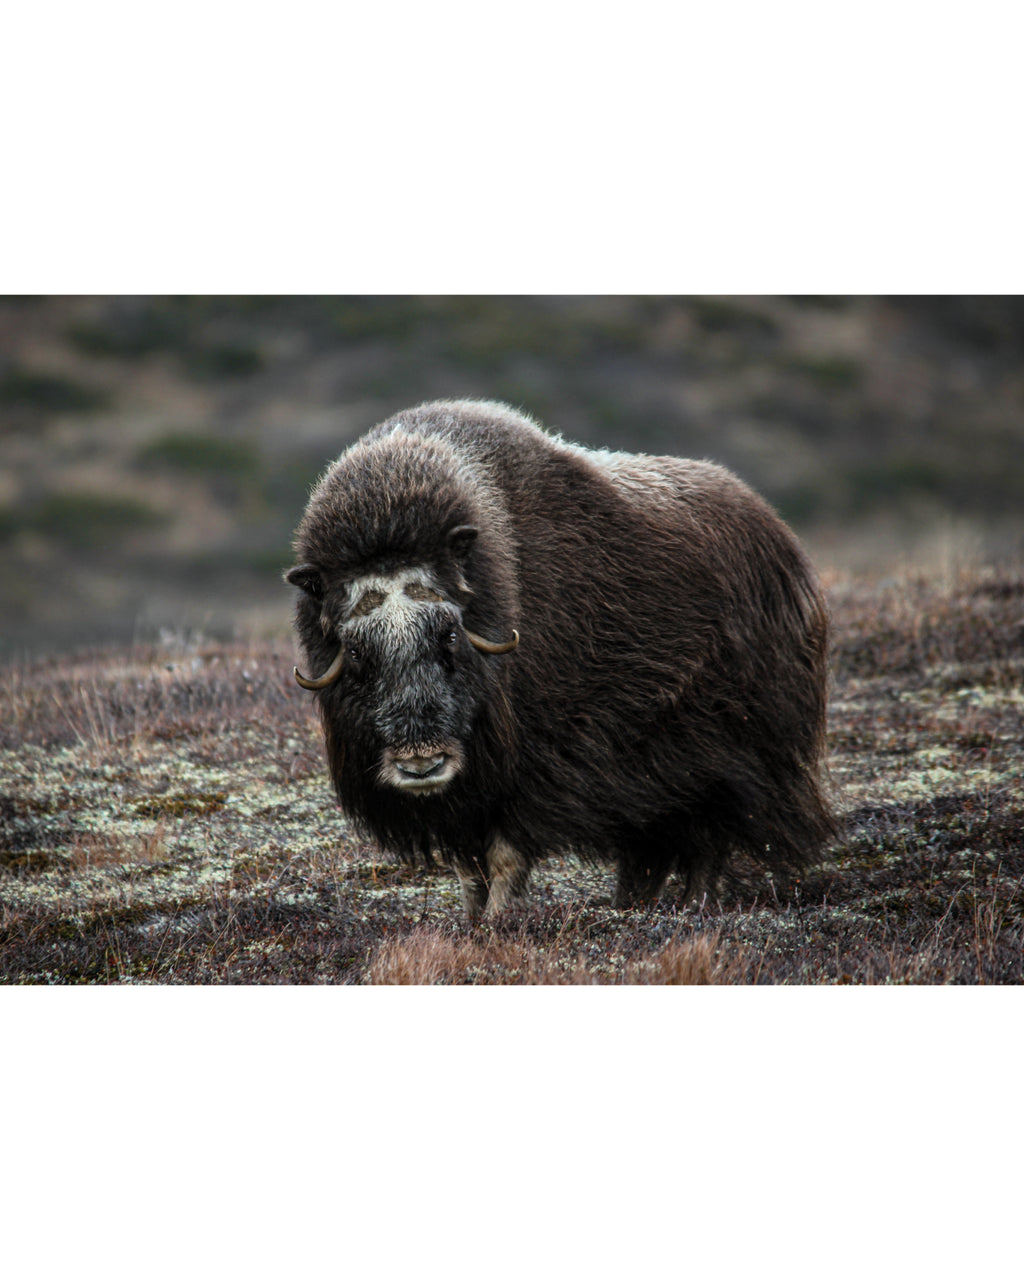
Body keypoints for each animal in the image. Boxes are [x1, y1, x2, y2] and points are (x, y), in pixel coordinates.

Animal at [285, 399, 833, 921]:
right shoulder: (466, 797)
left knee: (709, 840)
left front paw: (499, 921)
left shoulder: (537, 767)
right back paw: (633, 906)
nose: (422, 763)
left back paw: (693, 907)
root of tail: (781, 538)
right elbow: (468, 868)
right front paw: (471, 922)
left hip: (732, 756)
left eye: (449, 635)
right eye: (358, 652)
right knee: (655, 853)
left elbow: (506, 853)